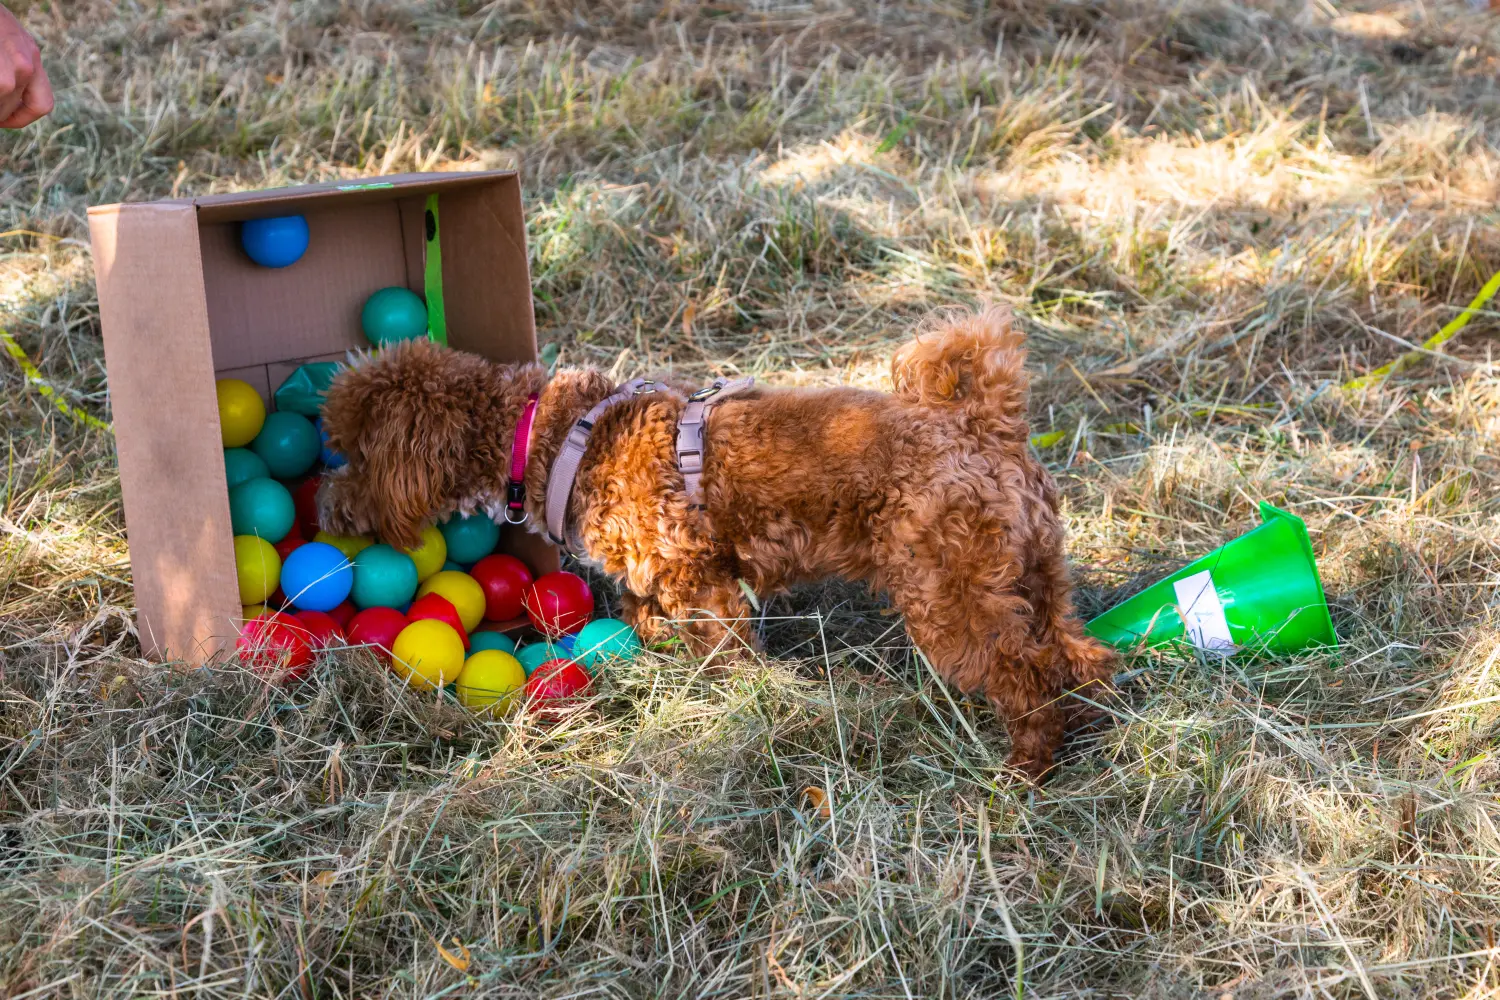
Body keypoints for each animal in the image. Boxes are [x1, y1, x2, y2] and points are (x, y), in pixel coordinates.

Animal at [316, 307, 1116, 779]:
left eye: (351, 452)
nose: (326, 505)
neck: (553, 435)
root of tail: (984, 427)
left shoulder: (701, 582)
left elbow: (726, 657)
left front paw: (740, 709)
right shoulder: (659, 579)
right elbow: (643, 616)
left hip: (948, 595)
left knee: (1025, 676)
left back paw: (1025, 767)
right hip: (1032, 573)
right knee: (1079, 656)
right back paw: (1086, 723)